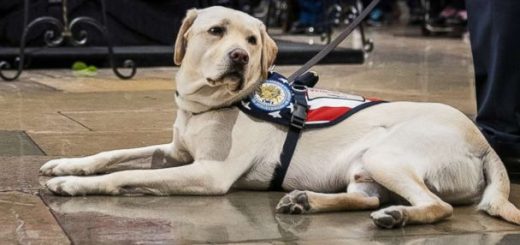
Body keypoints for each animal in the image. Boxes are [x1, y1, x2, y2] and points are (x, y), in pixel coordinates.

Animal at [39, 6, 520, 228]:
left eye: (252, 40)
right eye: (216, 31)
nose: (238, 56)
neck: (207, 105)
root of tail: (484, 144)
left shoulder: (209, 172)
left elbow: (126, 175)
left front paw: (73, 184)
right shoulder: (177, 151)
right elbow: (113, 154)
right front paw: (67, 164)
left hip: (386, 155)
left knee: (437, 206)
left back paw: (397, 217)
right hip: (363, 169)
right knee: (365, 198)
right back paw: (305, 201)